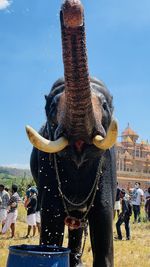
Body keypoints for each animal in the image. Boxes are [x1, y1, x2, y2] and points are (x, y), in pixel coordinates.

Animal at [25, 1, 118, 266]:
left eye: (105, 106)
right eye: (52, 108)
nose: (71, 8)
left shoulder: (108, 162)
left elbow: (103, 217)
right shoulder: (47, 167)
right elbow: (51, 217)